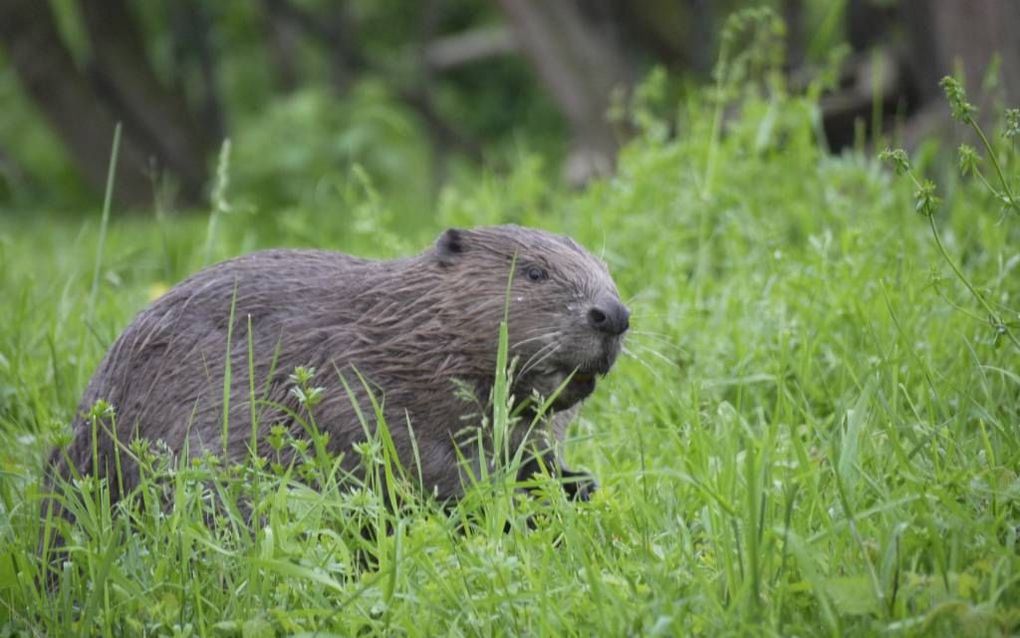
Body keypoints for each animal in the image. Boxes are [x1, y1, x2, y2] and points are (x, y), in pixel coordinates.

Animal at [47, 225, 628, 512]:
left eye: (607, 271)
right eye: (534, 273)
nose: (614, 315)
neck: (401, 330)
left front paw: (577, 483)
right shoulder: (354, 380)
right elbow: (414, 459)